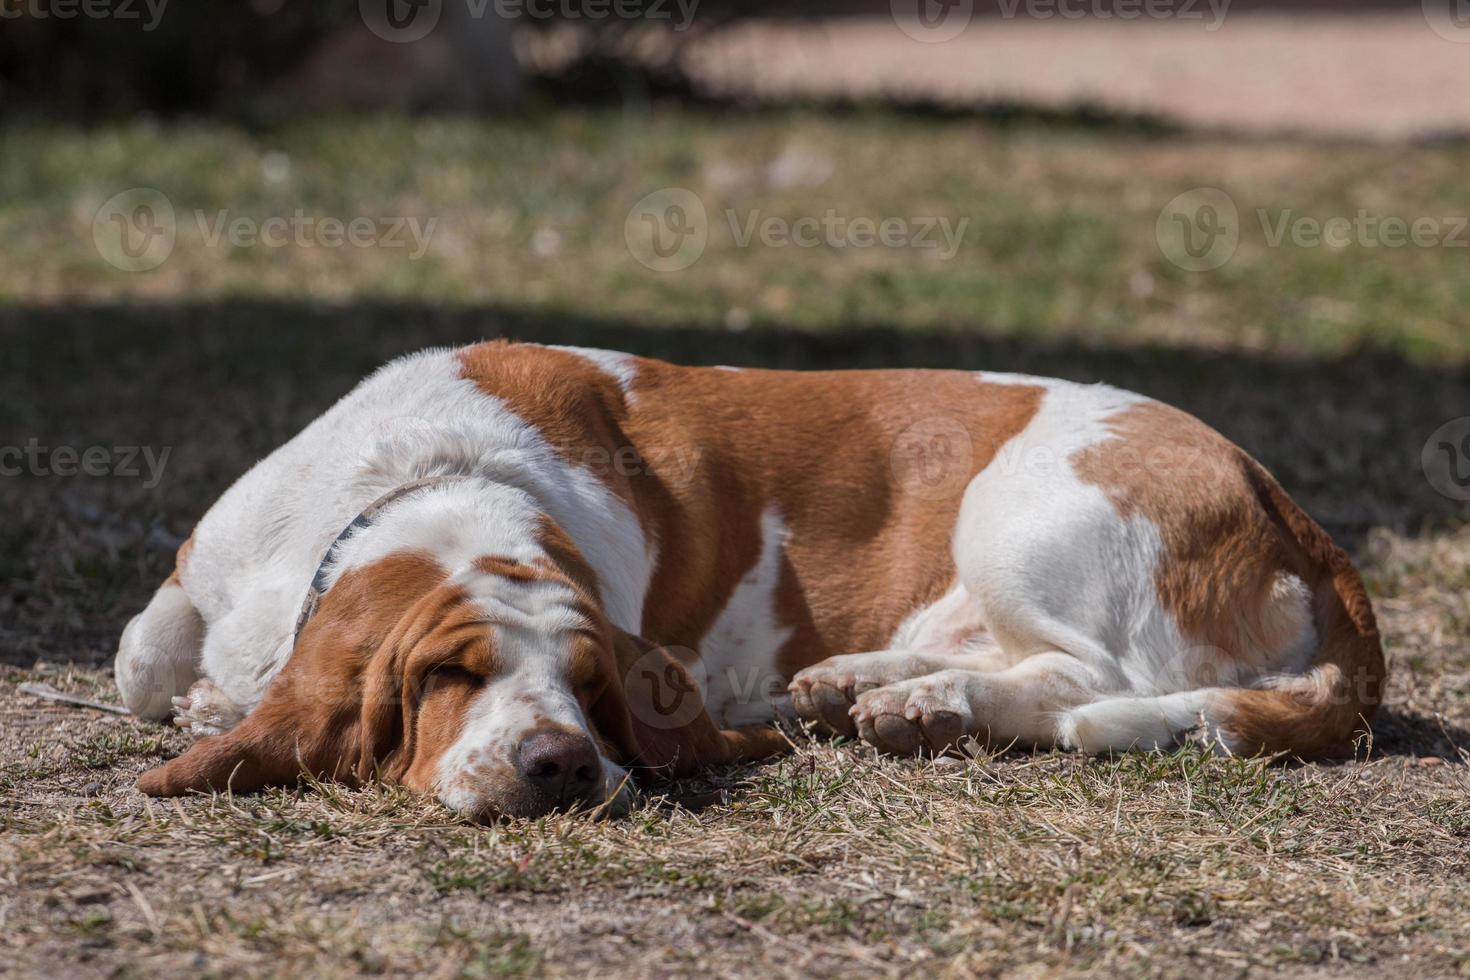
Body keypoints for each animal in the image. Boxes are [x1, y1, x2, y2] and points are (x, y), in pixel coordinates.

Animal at [120, 343, 1381, 822]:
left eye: (590, 681)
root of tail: (1287, 505)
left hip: (1017, 522)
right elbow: (141, 654)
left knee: (1089, 681)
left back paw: (924, 705)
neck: (436, 474)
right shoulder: (205, 570)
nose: (562, 761)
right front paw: (208, 698)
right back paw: (862, 686)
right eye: (445, 672)